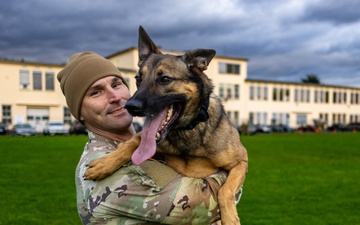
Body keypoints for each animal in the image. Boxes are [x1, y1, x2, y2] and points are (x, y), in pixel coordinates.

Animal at [84, 25, 248, 223]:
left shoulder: (241, 161)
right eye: (138, 79)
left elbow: (226, 190)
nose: (131, 106)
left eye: (165, 79)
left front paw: (230, 218)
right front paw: (106, 162)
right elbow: (134, 142)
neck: (187, 130)